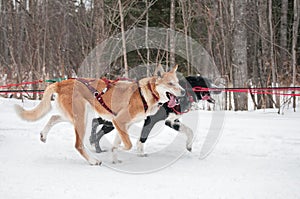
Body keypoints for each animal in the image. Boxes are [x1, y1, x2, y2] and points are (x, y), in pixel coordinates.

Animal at [14, 65, 185, 165]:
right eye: (171, 84)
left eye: (178, 82)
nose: (183, 91)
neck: (145, 93)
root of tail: (62, 82)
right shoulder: (119, 121)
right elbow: (127, 145)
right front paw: (119, 149)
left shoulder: (123, 125)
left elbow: (119, 143)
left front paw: (115, 156)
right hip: (81, 120)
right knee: (78, 145)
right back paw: (93, 161)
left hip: (76, 117)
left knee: (53, 117)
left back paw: (43, 135)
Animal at [89, 76, 218, 154]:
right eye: (206, 82)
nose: (219, 88)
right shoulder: (151, 120)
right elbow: (143, 137)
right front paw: (140, 152)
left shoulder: (171, 121)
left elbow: (189, 131)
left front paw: (189, 146)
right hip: (116, 121)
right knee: (96, 123)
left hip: (112, 121)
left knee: (97, 124)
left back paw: (95, 145)